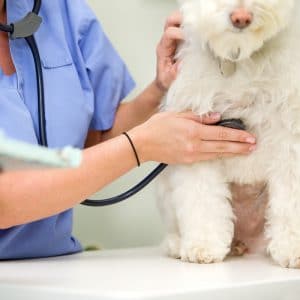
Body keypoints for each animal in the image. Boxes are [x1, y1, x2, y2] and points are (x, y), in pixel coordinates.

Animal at [157, 0, 300, 268]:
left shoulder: (290, 136)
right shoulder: (197, 137)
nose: (241, 18)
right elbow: (202, 197)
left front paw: (293, 248)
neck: (239, 58)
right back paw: (178, 244)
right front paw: (203, 245)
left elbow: (291, 200)